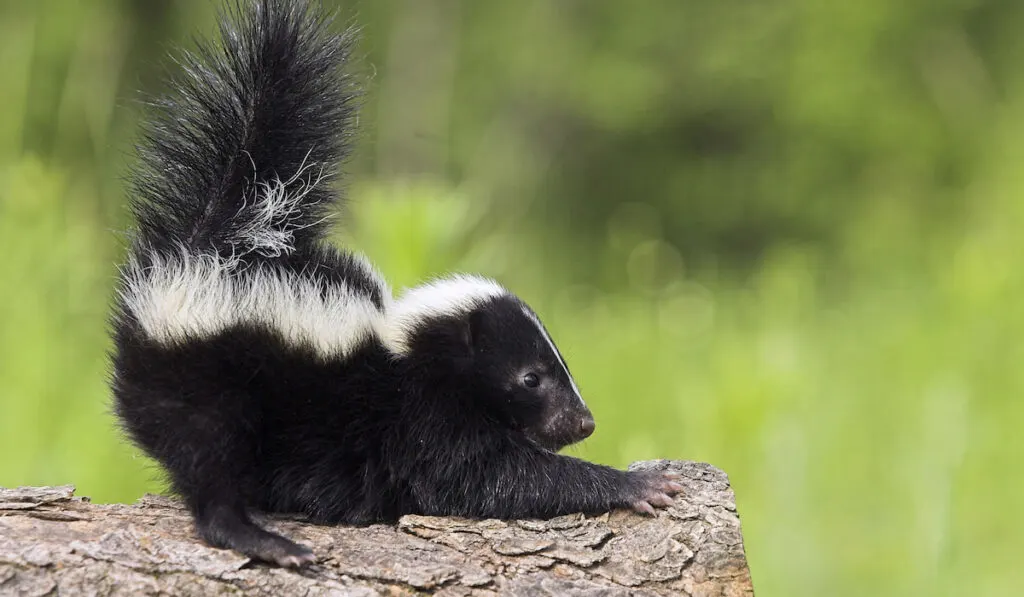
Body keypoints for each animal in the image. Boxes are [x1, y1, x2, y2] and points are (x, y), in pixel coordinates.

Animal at [110, 0, 679, 569]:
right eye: (530, 378)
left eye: (560, 365)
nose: (584, 423)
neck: (408, 354)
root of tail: (211, 248)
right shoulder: (423, 424)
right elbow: (490, 479)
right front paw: (637, 484)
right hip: (202, 386)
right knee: (208, 464)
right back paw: (263, 539)